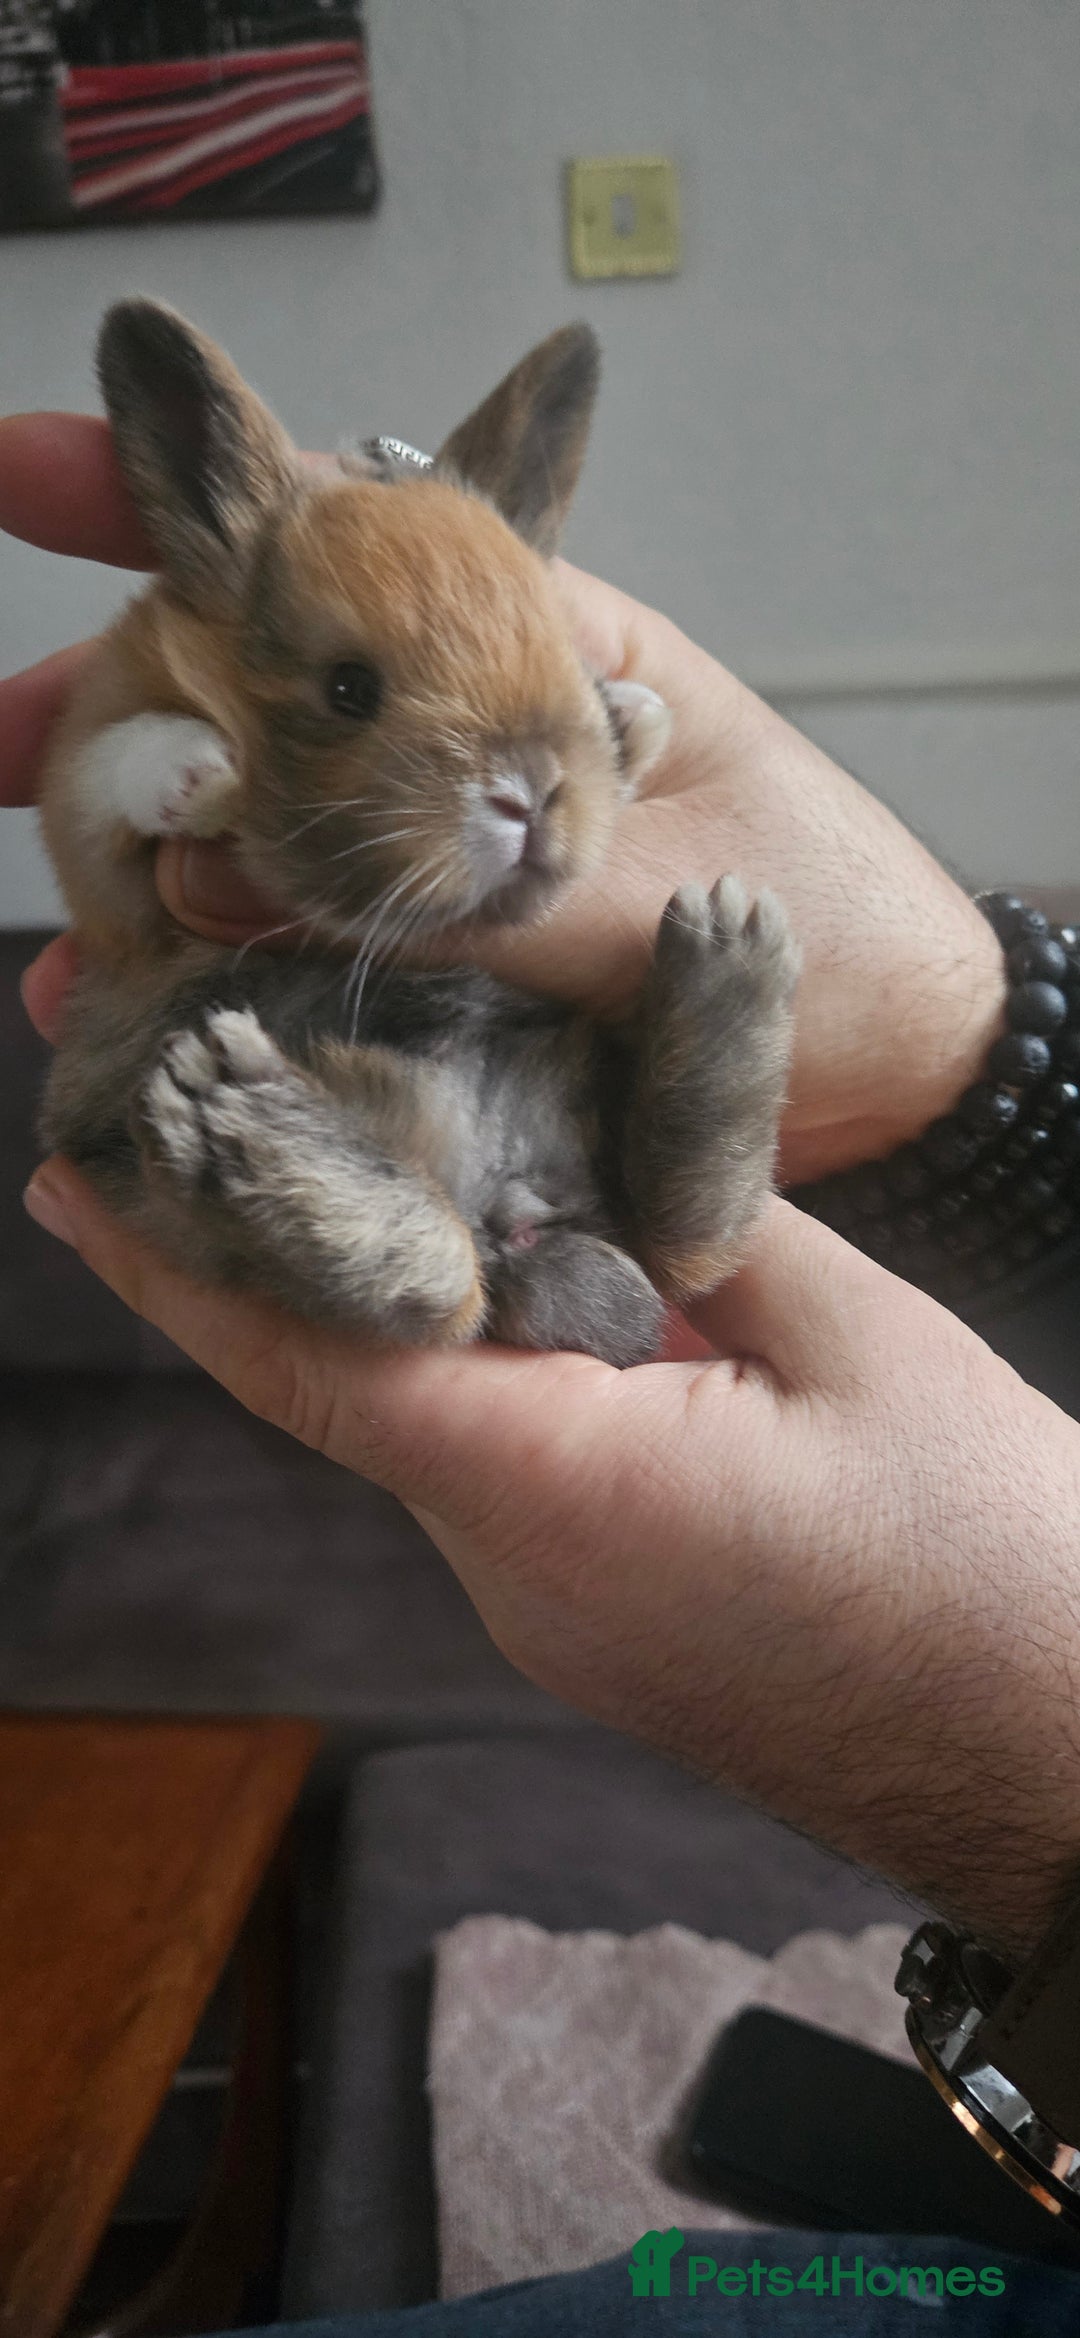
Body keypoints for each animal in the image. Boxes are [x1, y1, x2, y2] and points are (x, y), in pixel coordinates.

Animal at [38, 299, 799, 1368]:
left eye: (560, 653)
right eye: (348, 688)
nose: (531, 792)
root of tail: (504, 1198)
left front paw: (633, 717)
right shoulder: (105, 885)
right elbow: (107, 776)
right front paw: (202, 773)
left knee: (679, 1226)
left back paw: (729, 956)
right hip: (176, 1186)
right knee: (445, 1281)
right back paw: (237, 1111)